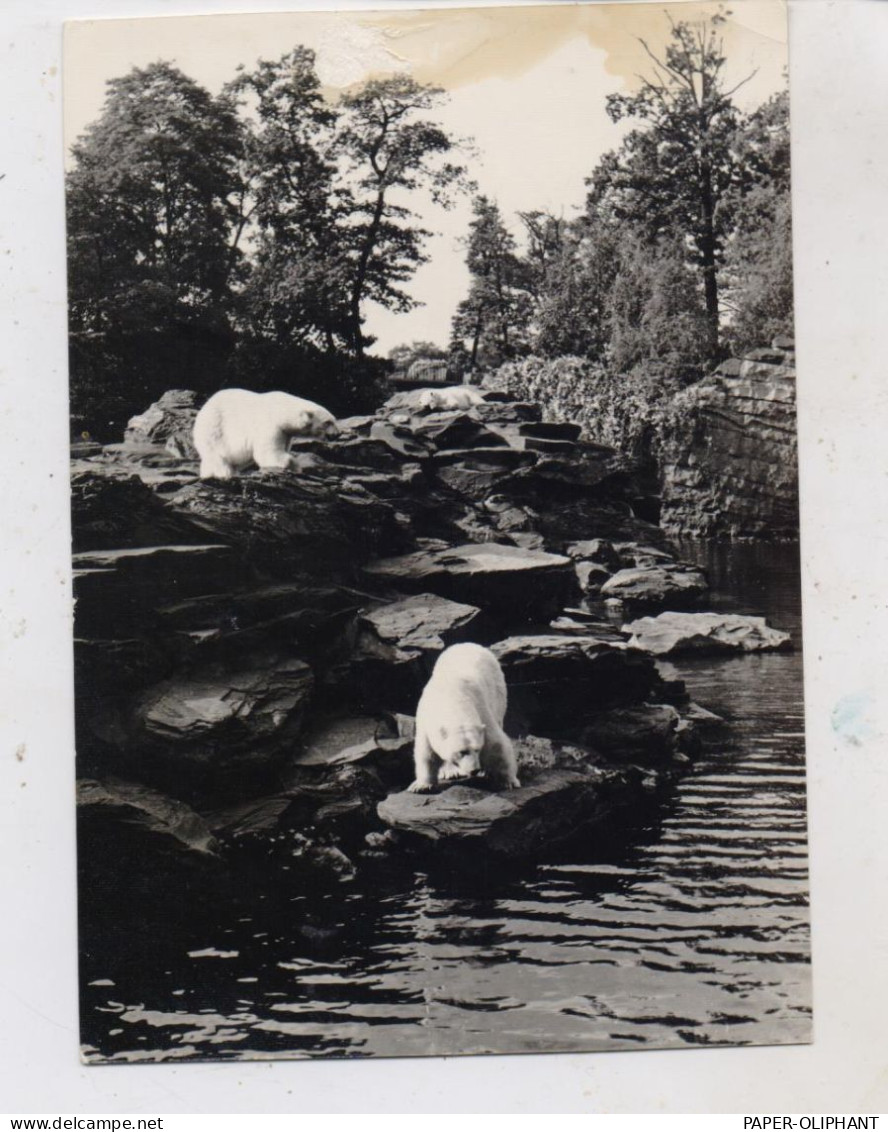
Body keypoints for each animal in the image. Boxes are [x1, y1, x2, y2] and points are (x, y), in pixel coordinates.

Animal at [192, 387, 337, 479]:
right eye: (328, 422)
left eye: (334, 420)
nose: (336, 434)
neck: (281, 410)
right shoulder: (270, 424)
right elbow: (268, 452)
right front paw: (290, 464)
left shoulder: (286, 433)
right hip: (214, 428)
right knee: (216, 454)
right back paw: (223, 473)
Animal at [410, 642, 521, 792]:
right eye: (462, 751)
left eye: (477, 749)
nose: (474, 770)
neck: (452, 697)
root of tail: (468, 644)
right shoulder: (426, 718)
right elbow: (426, 753)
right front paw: (420, 786)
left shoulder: (481, 711)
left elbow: (497, 744)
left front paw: (509, 781)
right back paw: (450, 772)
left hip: (498, 691)